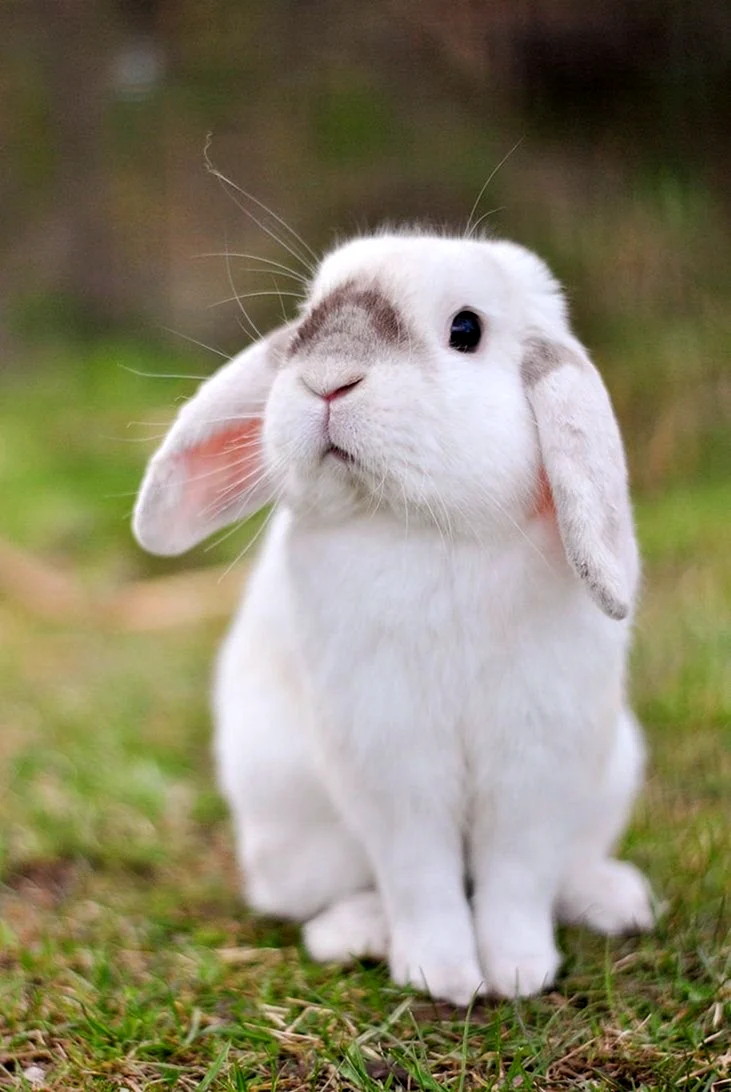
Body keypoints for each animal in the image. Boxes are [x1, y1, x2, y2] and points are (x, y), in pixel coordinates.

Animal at [133, 230, 656, 1006]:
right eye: (309, 318)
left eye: (465, 330)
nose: (327, 380)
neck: (430, 533)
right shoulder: (390, 759)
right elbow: (420, 876)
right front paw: (442, 976)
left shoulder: (536, 758)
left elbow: (517, 874)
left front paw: (518, 971)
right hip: (291, 832)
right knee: (328, 894)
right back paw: (356, 932)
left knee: (564, 867)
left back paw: (617, 901)